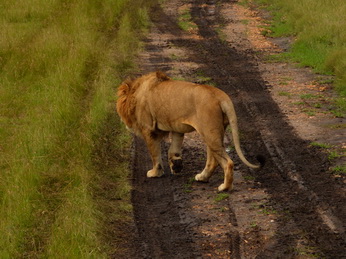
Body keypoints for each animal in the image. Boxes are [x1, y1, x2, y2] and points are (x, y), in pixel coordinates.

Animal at [117, 72, 264, 192]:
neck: (136, 92)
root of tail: (220, 96)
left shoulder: (149, 130)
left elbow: (155, 154)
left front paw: (155, 173)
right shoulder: (177, 128)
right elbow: (173, 150)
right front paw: (176, 166)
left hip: (209, 131)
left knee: (227, 163)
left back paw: (224, 187)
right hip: (214, 132)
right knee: (213, 160)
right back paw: (202, 177)